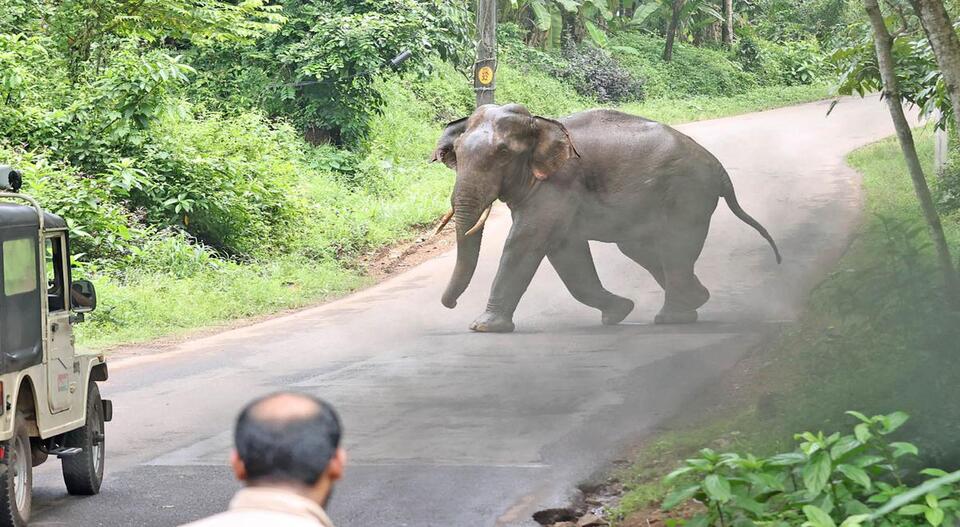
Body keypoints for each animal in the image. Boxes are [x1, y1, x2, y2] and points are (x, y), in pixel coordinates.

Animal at [432, 103, 776, 334]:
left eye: (503, 154)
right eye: (457, 153)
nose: (450, 305)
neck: (539, 123)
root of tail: (720, 171)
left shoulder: (559, 185)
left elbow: (525, 242)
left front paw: (482, 327)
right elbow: (566, 253)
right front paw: (619, 312)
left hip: (688, 195)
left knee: (673, 247)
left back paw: (672, 318)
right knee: (642, 249)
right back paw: (696, 300)